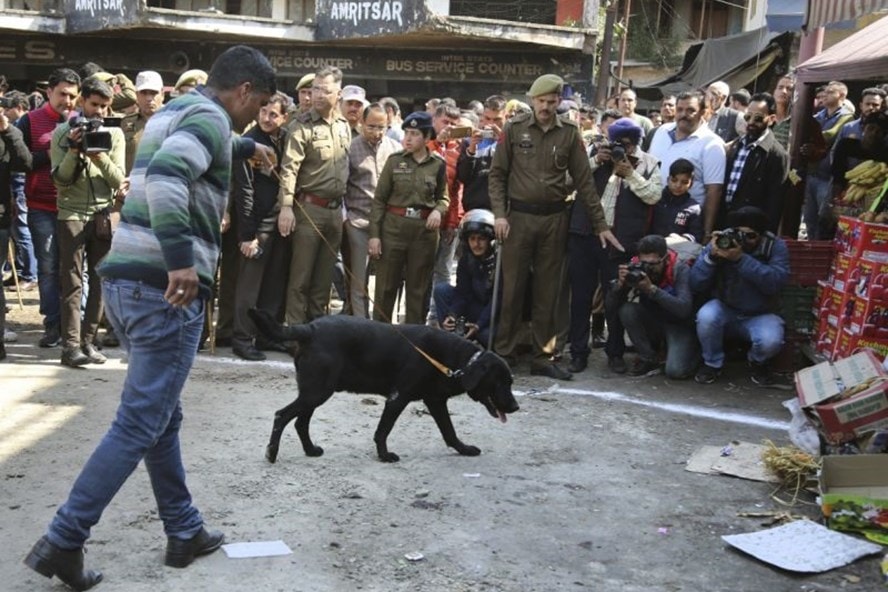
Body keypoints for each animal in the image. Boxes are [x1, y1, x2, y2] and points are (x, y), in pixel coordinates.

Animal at [250, 310, 516, 462]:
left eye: (510, 382)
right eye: (499, 382)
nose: (515, 407)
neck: (454, 360)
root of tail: (310, 328)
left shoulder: (435, 401)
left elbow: (449, 432)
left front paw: (464, 449)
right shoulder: (398, 398)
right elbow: (383, 430)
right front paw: (384, 455)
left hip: (315, 392)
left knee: (300, 423)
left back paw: (310, 450)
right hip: (317, 392)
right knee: (282, 415)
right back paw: (272, 453)